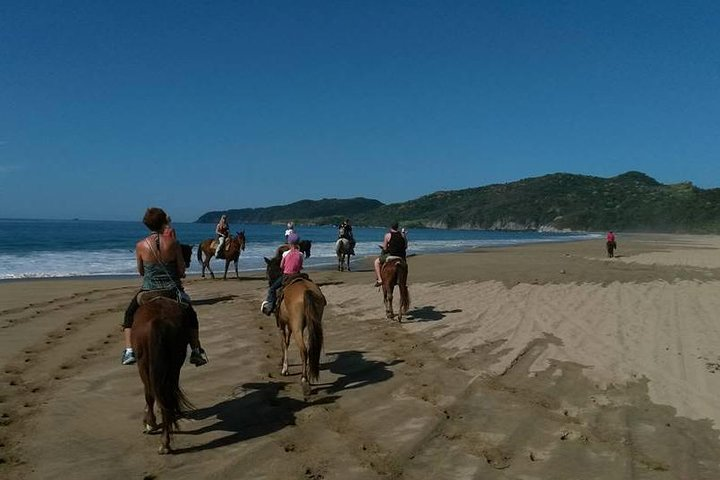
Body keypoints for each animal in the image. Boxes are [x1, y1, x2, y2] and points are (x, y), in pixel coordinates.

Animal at [129, 296, 191, 454]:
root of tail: (157, 322)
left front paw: (149, 423)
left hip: (143, 365)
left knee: (151, 394)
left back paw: (157, 433)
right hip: (174, 363)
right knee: (165, 394)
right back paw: (165, 440)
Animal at [264, 253, 326, 396]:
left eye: (268, 271)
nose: (269, 283)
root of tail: (306, 291)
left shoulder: (282, 324)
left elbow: (284, 343)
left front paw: (284, 368)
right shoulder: (290, 325)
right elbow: (287, 341)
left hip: (298, 327)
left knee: (303, 350)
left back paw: (304, 381)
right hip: (314, 323)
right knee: (311, 347)